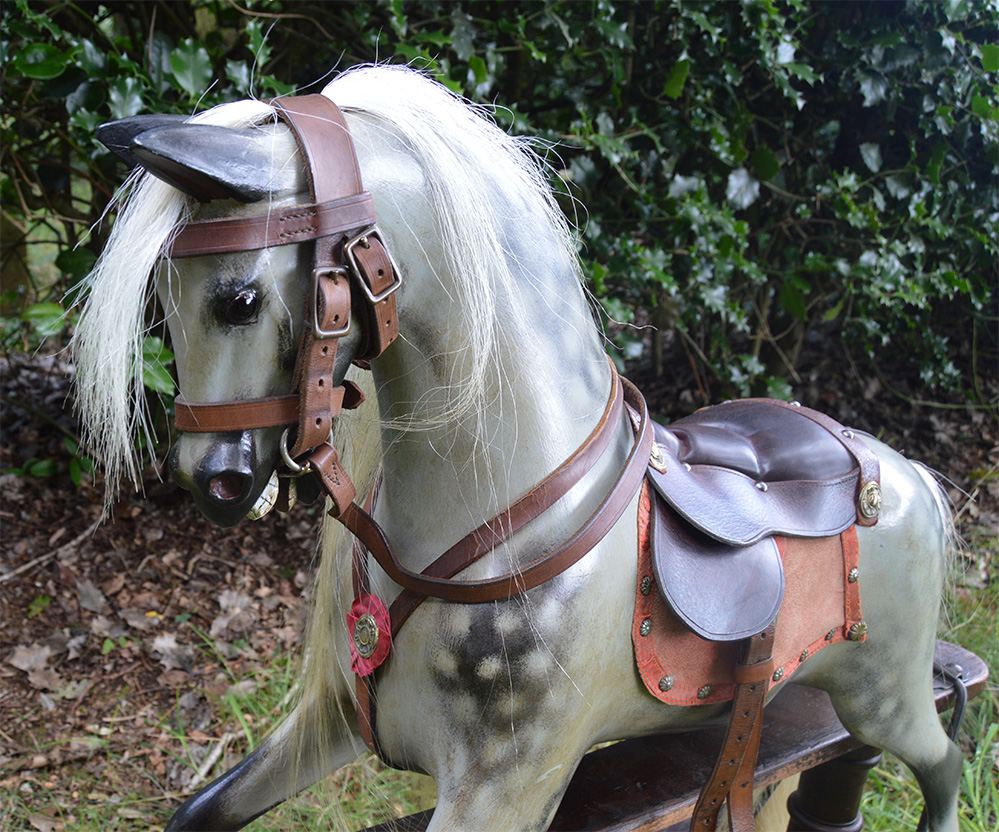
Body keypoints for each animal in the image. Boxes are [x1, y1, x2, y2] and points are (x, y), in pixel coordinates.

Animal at [73, 65, 963, 831]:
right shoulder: (333, 721)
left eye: (240, 299)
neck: (503, 516)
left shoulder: (505, 786)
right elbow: (200, 812)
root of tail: (900, 469)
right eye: (162, 300)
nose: (210, 479)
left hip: (883, 697)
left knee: (943, 761)